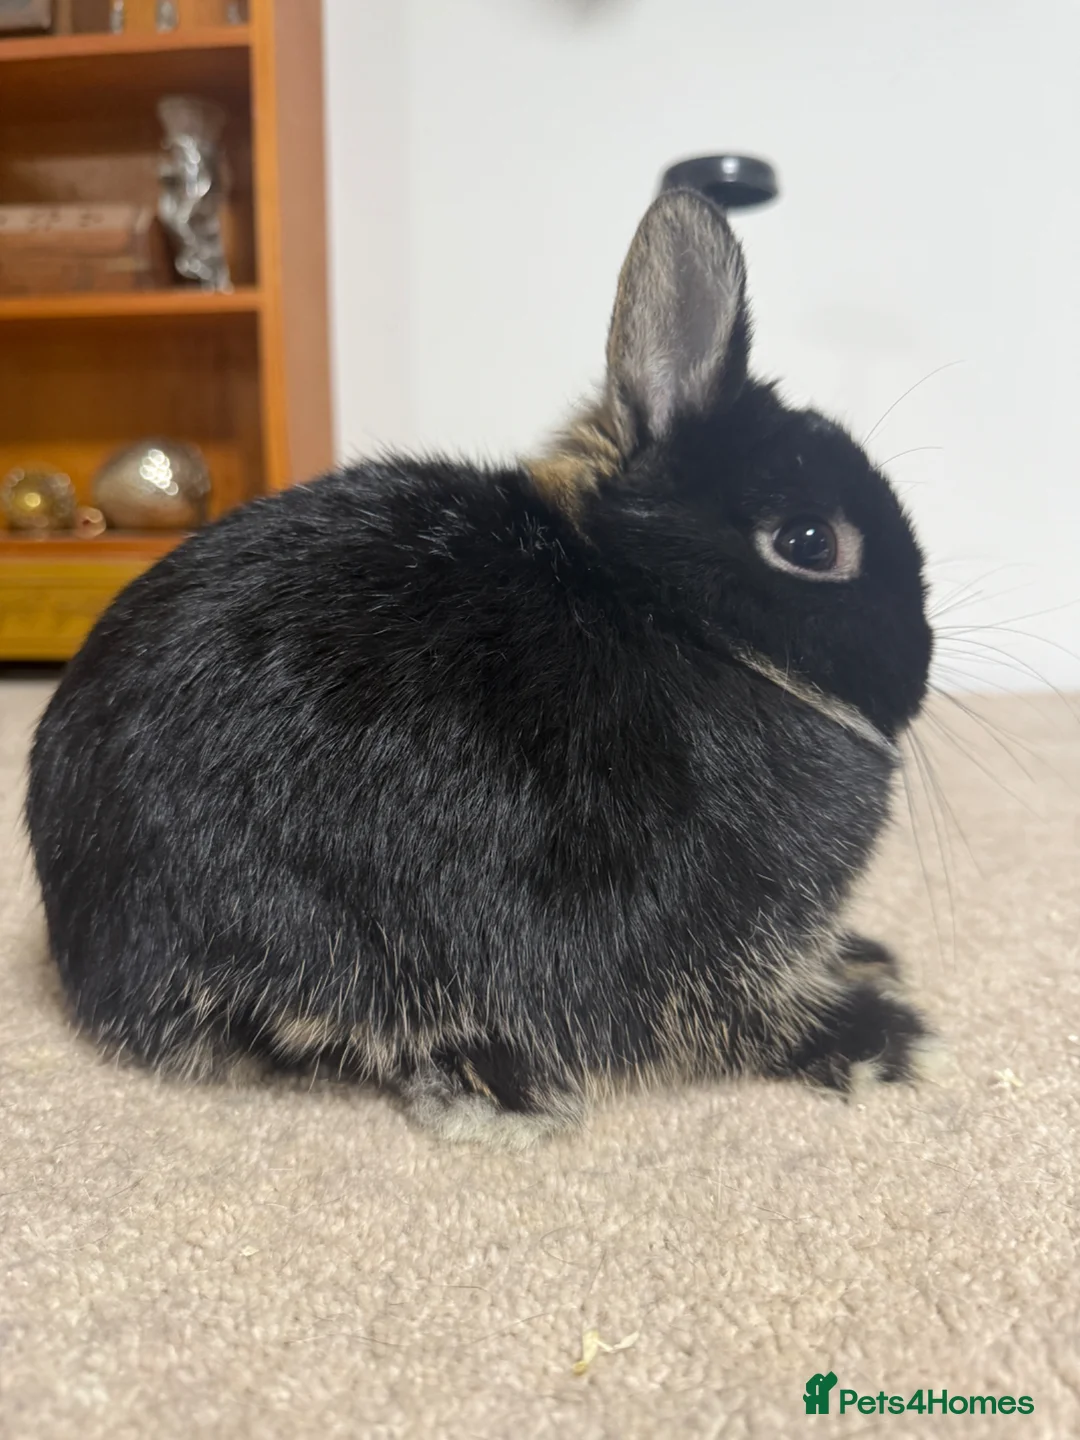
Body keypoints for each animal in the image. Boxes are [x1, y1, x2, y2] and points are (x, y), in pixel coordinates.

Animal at [26, 188, 934, 1149]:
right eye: (810, 543)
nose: (919, 669)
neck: (678, 616)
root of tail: (81, 944)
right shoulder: (691, 940)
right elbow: (732, 1015)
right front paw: (875, 1037)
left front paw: (868, 961)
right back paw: (498, 1090)